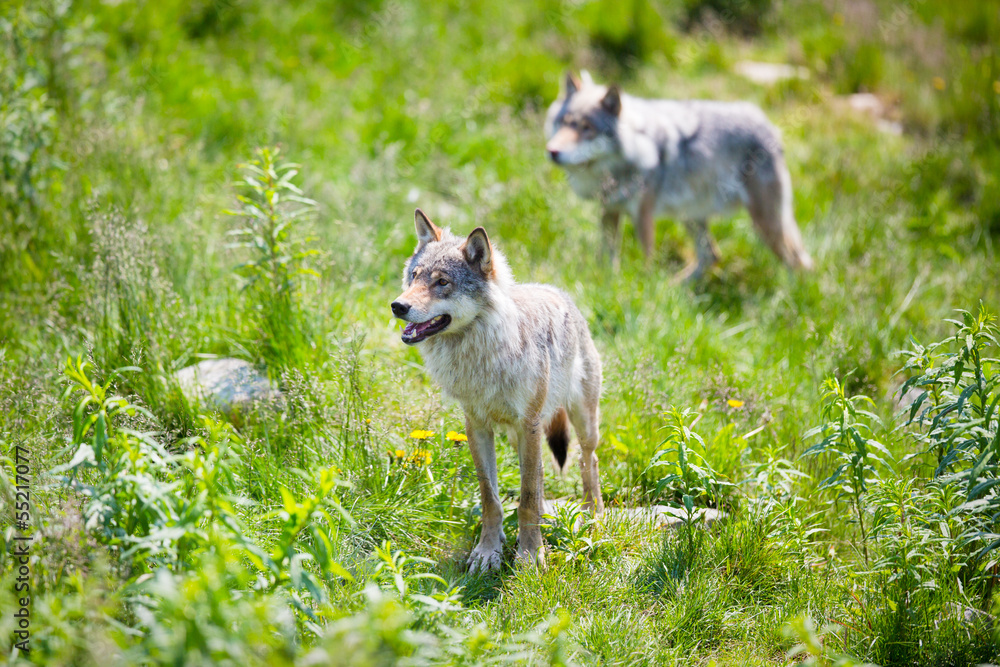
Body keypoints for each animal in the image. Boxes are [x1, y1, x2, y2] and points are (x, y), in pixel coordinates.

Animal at [391, 209, 604, 573]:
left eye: (442, 282)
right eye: (414, 277)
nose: (397, 306)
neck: (482, 357)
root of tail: (557, 292)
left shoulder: (529, 424)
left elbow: (527, 498)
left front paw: (530, 555)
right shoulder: (476, 426)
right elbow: (491, 497)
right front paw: (488, 551)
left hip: (579, 423)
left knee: (588, 461)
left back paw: (593, 517)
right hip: (524, 436)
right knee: (543, 475)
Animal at [545, 71, 813, 279]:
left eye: (587, 128)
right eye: (563, 123)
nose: (552, 152)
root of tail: (770, 126)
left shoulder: (643, 214)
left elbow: (647, 260)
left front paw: (645, 289)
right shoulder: (609, 210)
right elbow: (608, 257)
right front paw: (609, 282)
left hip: (764, 224)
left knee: (798, 263)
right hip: (692, 217)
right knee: (711, 256)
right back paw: (675, 287)